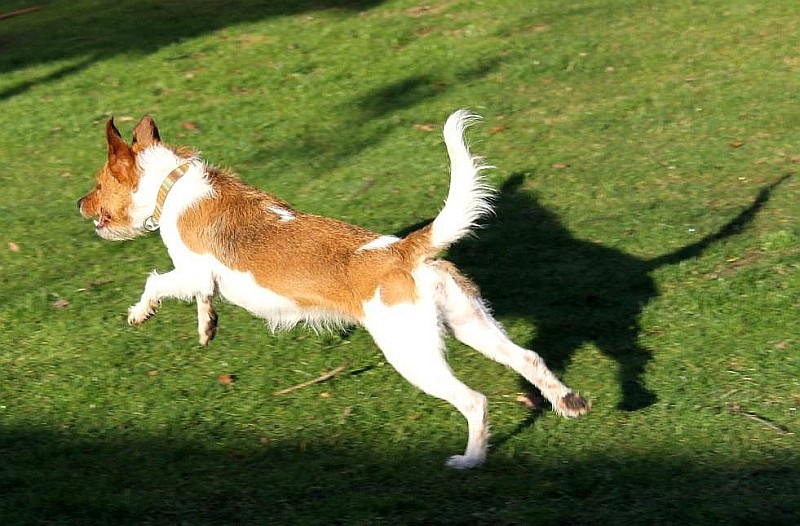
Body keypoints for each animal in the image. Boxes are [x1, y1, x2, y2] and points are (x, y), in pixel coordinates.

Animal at [78, 111, 588, 470]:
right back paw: (568, 402)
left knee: (474, 400)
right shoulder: (201, 280)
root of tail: (404, 251)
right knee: (529, 358)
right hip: (471, 323)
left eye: (98, 183)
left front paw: (140, 312)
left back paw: (471, 460)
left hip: (412, 354)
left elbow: (157, 280)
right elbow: (201, 301)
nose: (79, 203)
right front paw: (207, 326)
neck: (172, 183)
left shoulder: (194, 271)